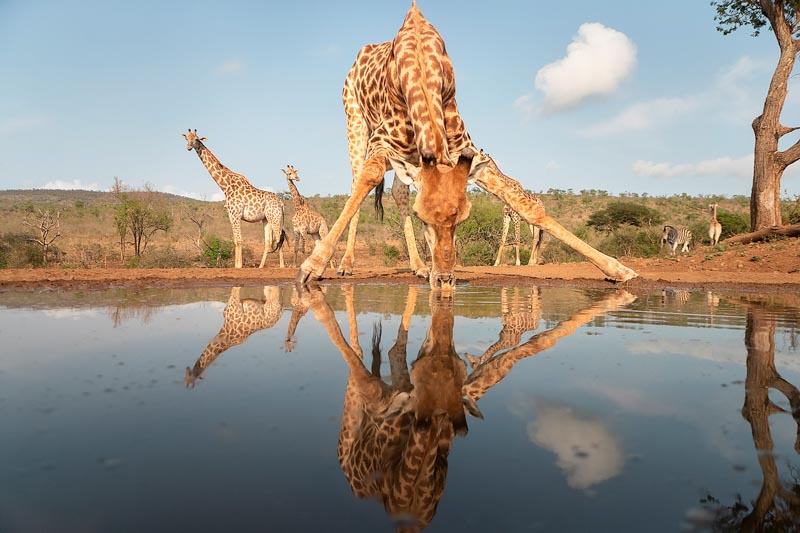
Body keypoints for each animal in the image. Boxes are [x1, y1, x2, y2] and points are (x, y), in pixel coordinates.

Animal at [182, 129, 286, 268]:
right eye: (187, 138)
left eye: (196, 139)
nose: (188, 147)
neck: (225, 186)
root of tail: (281, 203)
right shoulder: (231, 215)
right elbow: (235, 240)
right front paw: (237, 265)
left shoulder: (235, 214)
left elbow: (239, 240)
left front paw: (238, 266)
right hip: (266, 219)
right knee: (269, 241)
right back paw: (260, 267)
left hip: (275, 217)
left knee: (279, 239)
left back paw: (282, 266)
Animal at [296, 2, 636, 289]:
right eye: (423, 218)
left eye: (463, 219)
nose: (445, 280)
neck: (422, 67)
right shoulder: (382, 142)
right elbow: (366, 181)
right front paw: (312, 267)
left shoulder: (465, 153)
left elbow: (526, 206)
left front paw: (618, 269)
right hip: (355, 121)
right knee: (357, 180)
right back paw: (347, 264)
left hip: (406, 156)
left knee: (398, 192)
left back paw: (419, 266)